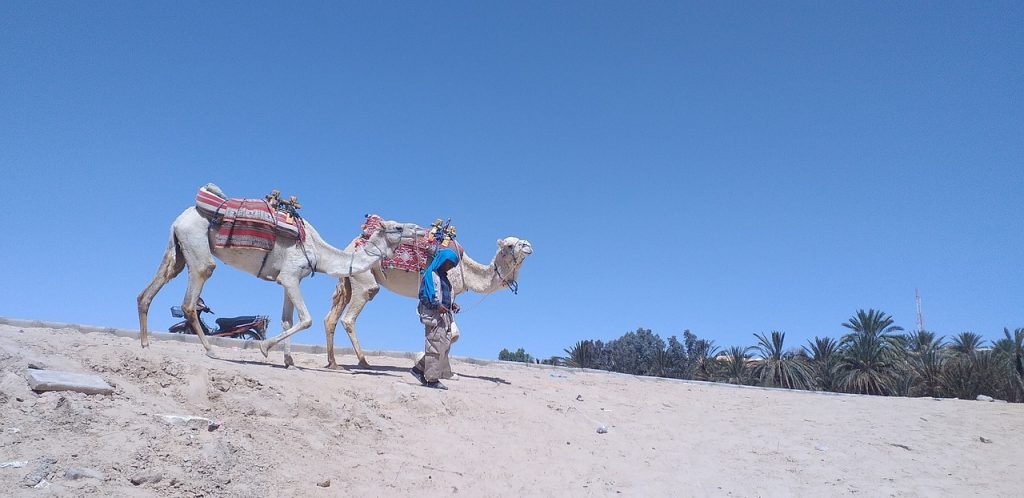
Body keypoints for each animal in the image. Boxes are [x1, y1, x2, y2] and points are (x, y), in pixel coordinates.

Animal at [136, 188, 423, 364]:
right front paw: (265, 349)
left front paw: (289, 361)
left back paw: (146, 344)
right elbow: (306, 319)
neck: (318, 252)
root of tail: (182, 217)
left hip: (178, 247)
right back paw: (209, 350)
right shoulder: (291, 276)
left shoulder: (287, 279)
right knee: (192, 296)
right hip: (197, 245)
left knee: (152, 287)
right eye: (398, 227)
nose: (420, 230)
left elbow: (287, 320)